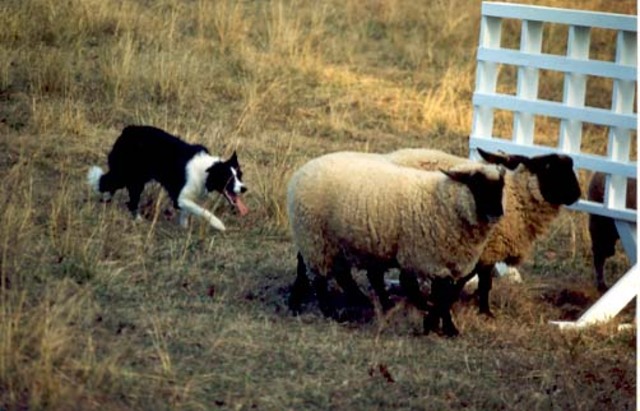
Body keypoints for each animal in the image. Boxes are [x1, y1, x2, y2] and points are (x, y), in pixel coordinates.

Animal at [287, 151, 506, 336]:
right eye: (478, 185)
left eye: (500, 188)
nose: (498, 213)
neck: (445, 203)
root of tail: (301, 172)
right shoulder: (429, 259)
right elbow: (439, 296)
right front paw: (442, 327)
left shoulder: (447, 262)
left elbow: (444, 296)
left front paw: (439, 324)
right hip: (316, 239)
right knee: (320, 279)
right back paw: (330, 312)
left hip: (339, 243)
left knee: (341, 274)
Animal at [384, 148, 582, 317]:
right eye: (549, 167)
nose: (577, 194)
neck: (516, 198)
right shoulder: (488, 250)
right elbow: (483, 282)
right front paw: (485, 311)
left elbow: (468, 278)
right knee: (405, 278)